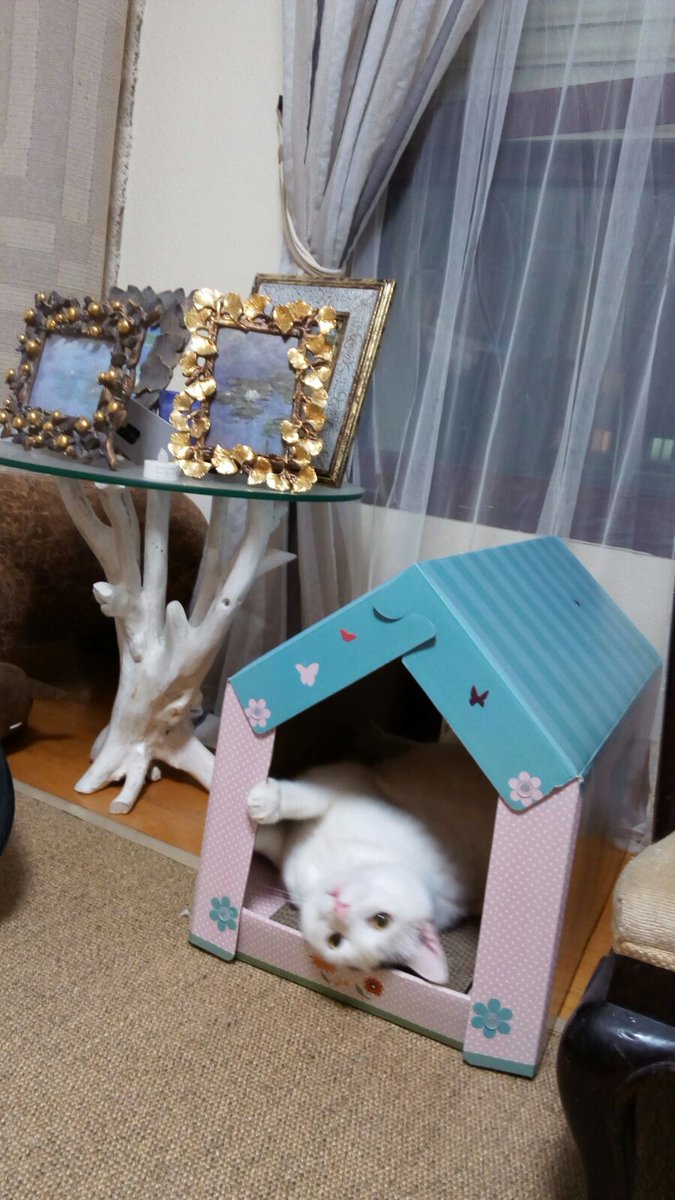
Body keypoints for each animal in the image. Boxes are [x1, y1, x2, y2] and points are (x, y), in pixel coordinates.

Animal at [247, 738, 497, 985]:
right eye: (382, 919)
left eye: (335, 941)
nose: (340, 907)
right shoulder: (347, 782)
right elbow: (308, 801)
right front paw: (268, 802)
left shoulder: (286, 850)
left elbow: (269, 837)